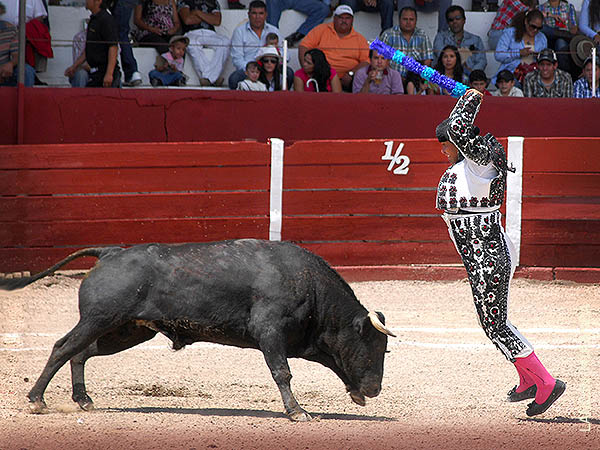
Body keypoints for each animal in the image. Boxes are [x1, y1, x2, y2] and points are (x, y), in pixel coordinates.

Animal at [2, 241, 396, 420]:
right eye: (374, 347)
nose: (375, 389)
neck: (309, 285)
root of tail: (110, 253)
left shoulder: (304, 341)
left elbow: (329, 361)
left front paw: (353, 394)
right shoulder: (270, 331)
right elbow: (282, 372)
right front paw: (297, 412)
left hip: (127, 330)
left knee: (80, 351)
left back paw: (83, 399)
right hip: (99, 319)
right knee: (62, 347)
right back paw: (37, 399)